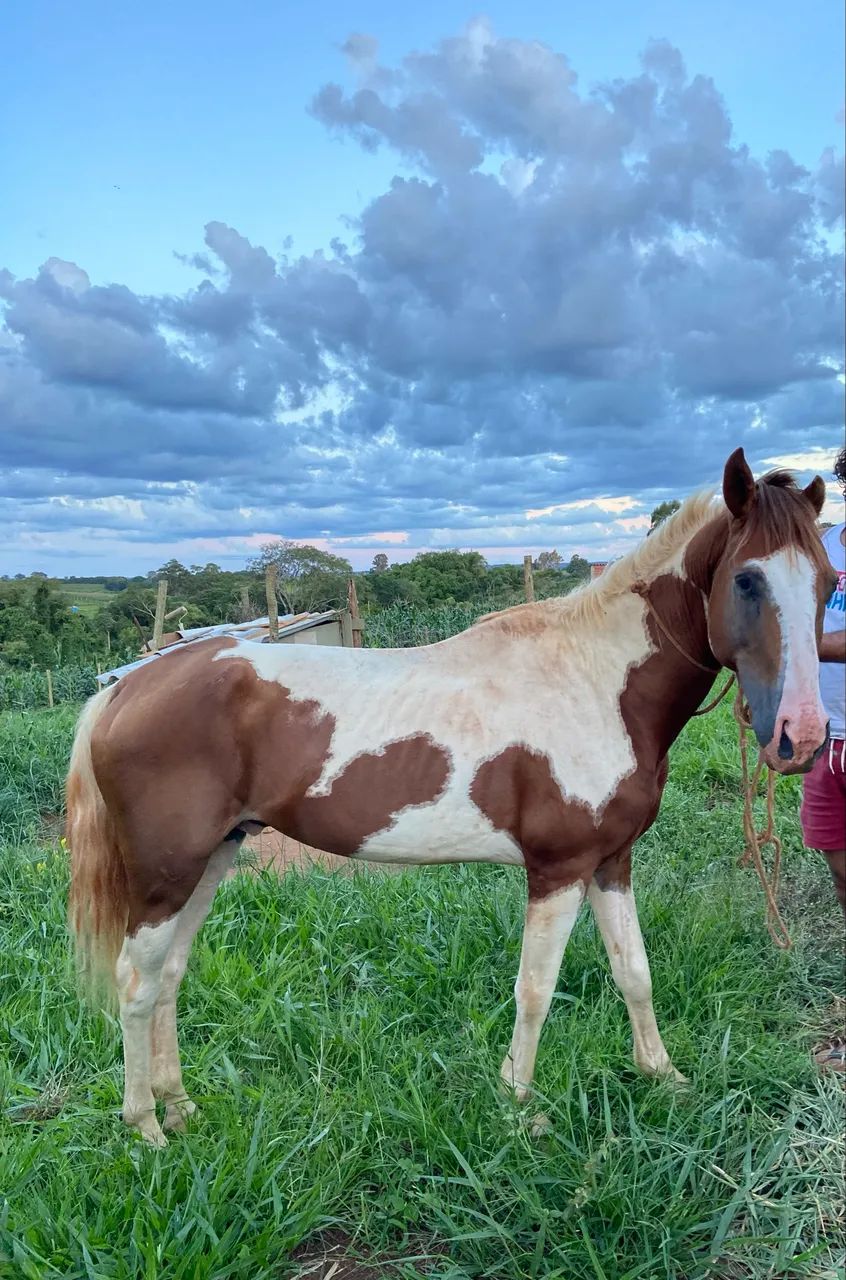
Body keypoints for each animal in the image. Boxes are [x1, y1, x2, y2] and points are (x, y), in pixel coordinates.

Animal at [66, 448, 834, 1146]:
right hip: (165, 874)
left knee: (169, 974)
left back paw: (180, 1108)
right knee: (136, 983)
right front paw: (520, 1107)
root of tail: (123, 689)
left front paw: (663, 1077)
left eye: (827, 582)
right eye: (747, 579)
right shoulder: (558, 869)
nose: (801, 736)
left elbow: (634, 972)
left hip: (213, 858)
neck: (595, 682)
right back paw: (146, 1128)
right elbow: (535, 989)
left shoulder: (611, 861)